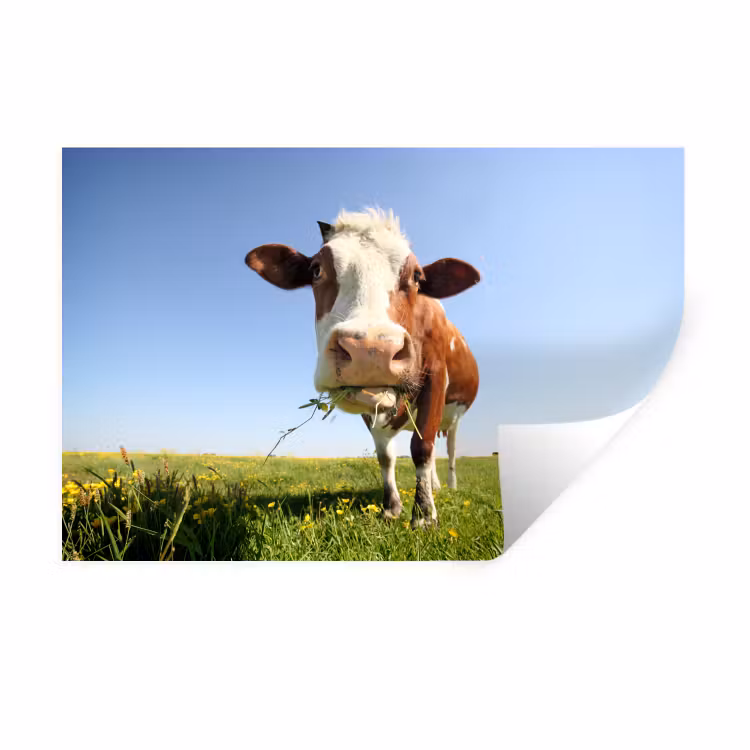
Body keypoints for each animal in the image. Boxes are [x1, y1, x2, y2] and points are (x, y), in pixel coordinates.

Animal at [245, 208, 480, 528]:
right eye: (316, 270)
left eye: (417, 277)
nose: (371, 351)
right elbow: (385, 456)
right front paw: (393, 507)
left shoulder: (435, 377)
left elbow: (422, 448)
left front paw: (424, 516)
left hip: (454, 416)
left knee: (449, 449)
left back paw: (450, 487)